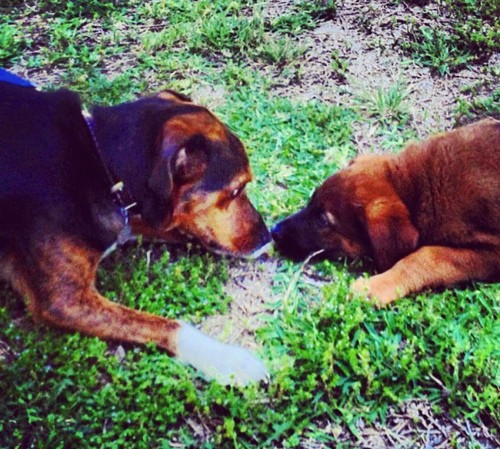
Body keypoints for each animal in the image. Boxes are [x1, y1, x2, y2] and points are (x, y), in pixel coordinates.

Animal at [0, 79, 272, 384]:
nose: (268, 236)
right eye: (236, 190)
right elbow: (166, 325)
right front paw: (228, 360)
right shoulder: (64, 300)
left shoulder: (130, 218)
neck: (100, 163)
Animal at [274, 118, 500, 304]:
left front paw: (375, 286)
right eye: (311, 201)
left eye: (323, 220)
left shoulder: (492, 251)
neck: (416, 188)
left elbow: (426, 255)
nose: (275, 231)